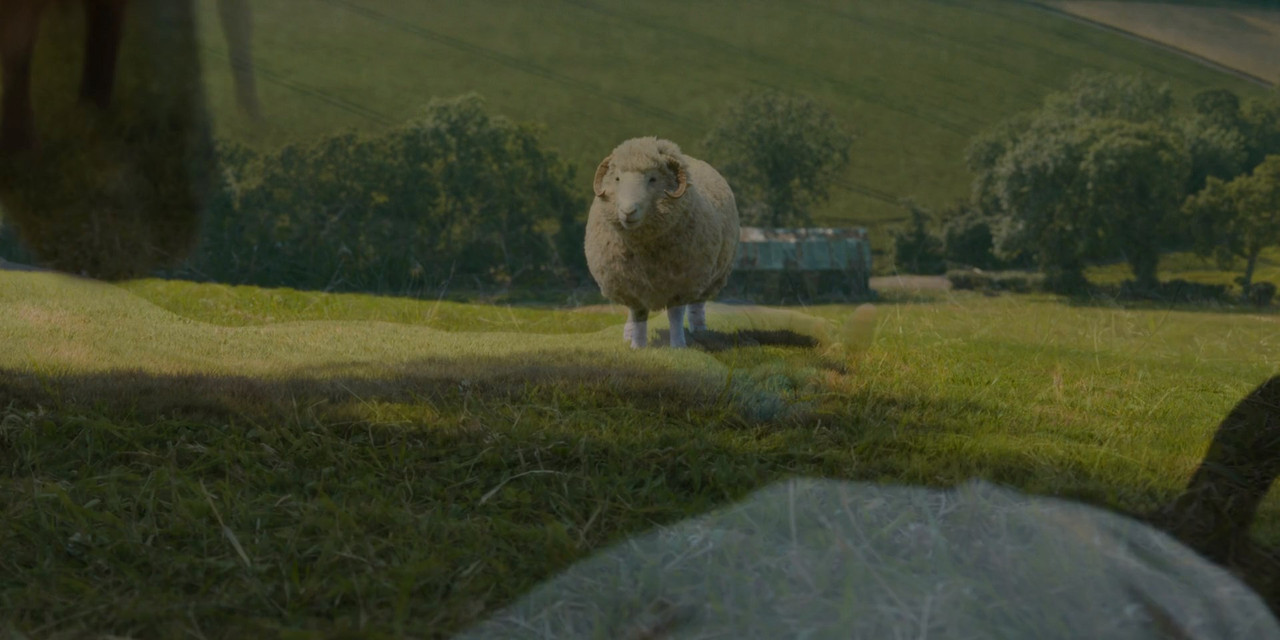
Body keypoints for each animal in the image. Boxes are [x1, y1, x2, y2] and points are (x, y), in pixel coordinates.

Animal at [584, 136, 740, 349]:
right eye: (617, 179)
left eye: (653, 179)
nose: (628, 211)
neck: (645, 248)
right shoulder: (631, 284)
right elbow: (638, 315)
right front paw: (637, 346)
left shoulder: (679, 284)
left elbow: (675, 315)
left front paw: (678, 346)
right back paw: (628, 334)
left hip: (709, 276)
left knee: (697, 304)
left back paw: (699, 330)